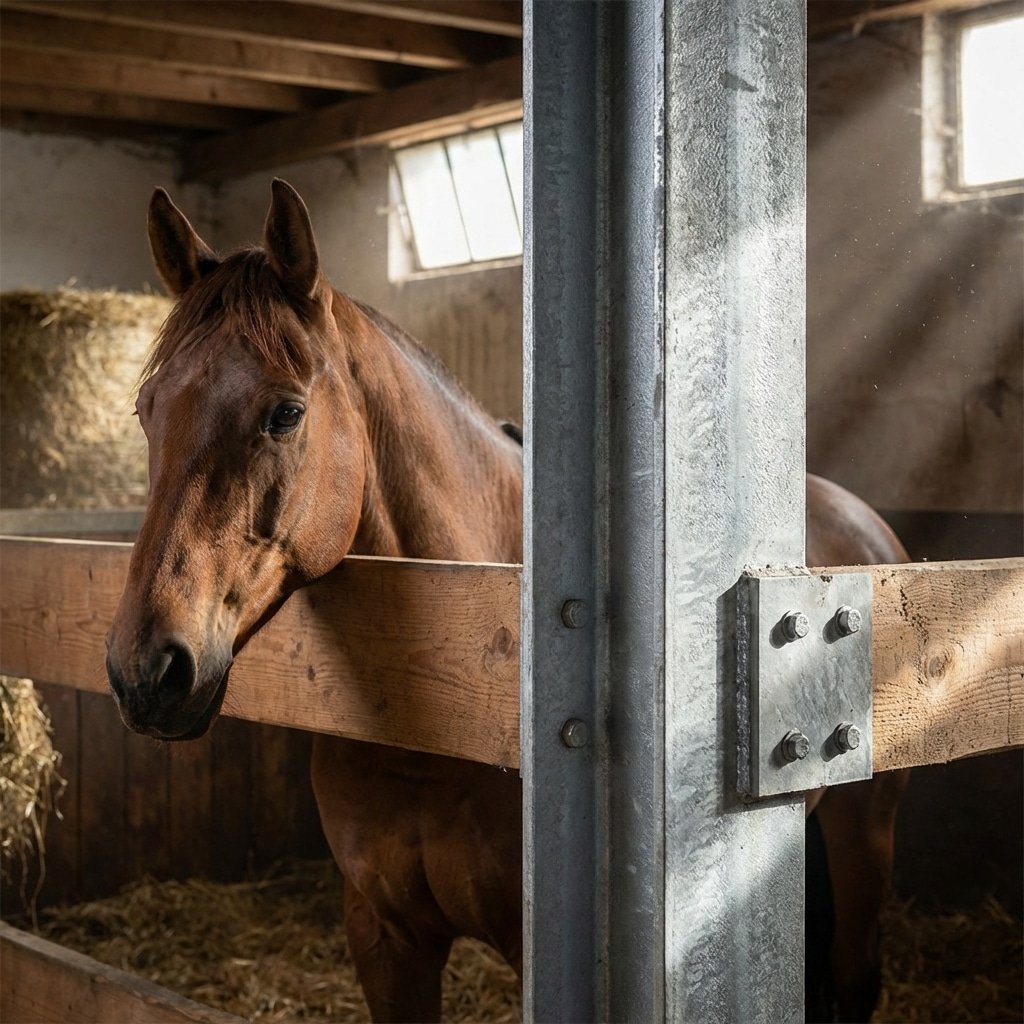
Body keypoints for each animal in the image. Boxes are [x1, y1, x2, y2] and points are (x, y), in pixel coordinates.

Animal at [105, 179, 908, 1022]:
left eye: (285, 412)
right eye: (146, 409)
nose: (145, 671)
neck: (443, 720)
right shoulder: (383, 933)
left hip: (866, 826)